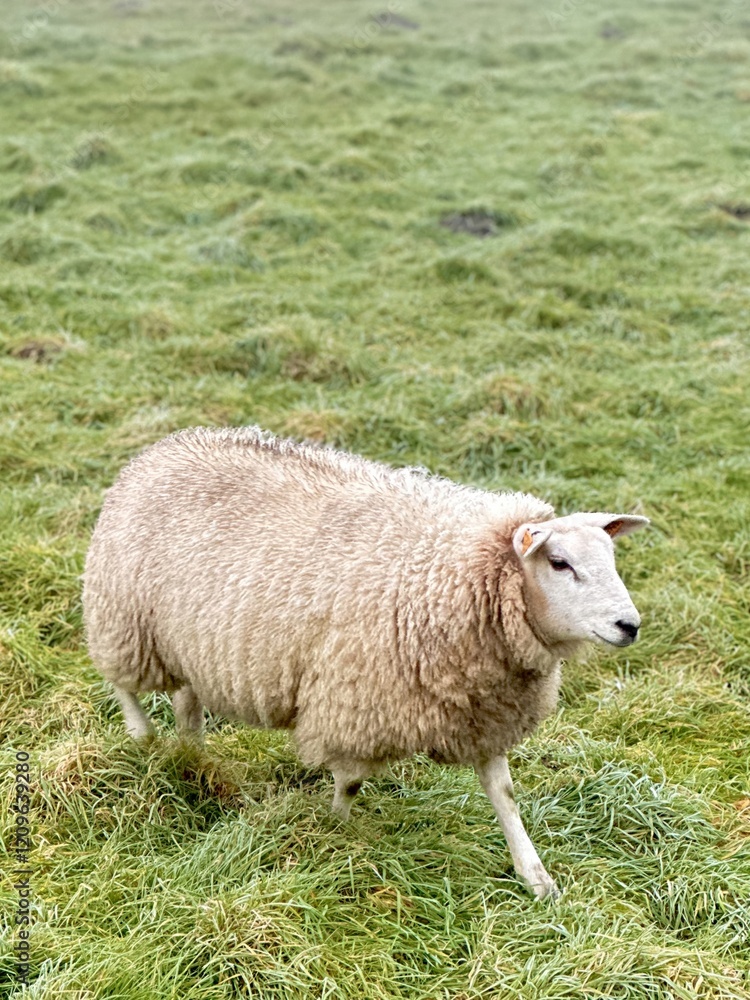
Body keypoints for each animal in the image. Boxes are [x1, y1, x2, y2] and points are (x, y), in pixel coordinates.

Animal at [82, 426, 648, 899]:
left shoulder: (483, 711)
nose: (630, 625)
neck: (458, 578)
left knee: (186, 700)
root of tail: (163, 447)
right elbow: (350, 781)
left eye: (611, 559)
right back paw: (143, 738)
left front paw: (537, 878)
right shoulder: (356, 703)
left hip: (189, 637)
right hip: (125, 616)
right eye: (559, 563)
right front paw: (338, 831)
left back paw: (194, 755)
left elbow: (503, 793)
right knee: (123, 684)